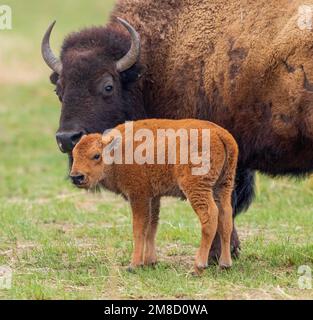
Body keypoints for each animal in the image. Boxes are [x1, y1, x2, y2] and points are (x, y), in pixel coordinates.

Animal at [70, 119, 236, 274]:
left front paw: (134, 265)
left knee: (209, 217)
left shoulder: (138, 195)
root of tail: (220, 134)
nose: (76, 177)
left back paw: (198, 267)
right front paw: (150, 261)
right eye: (74, 154)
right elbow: (152, 226)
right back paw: (225, 264)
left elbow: (139, 228)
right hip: (223, 186)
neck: (118, 151)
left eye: (96, 155)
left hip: (197, 188)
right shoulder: (153, 198)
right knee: (226, 218)